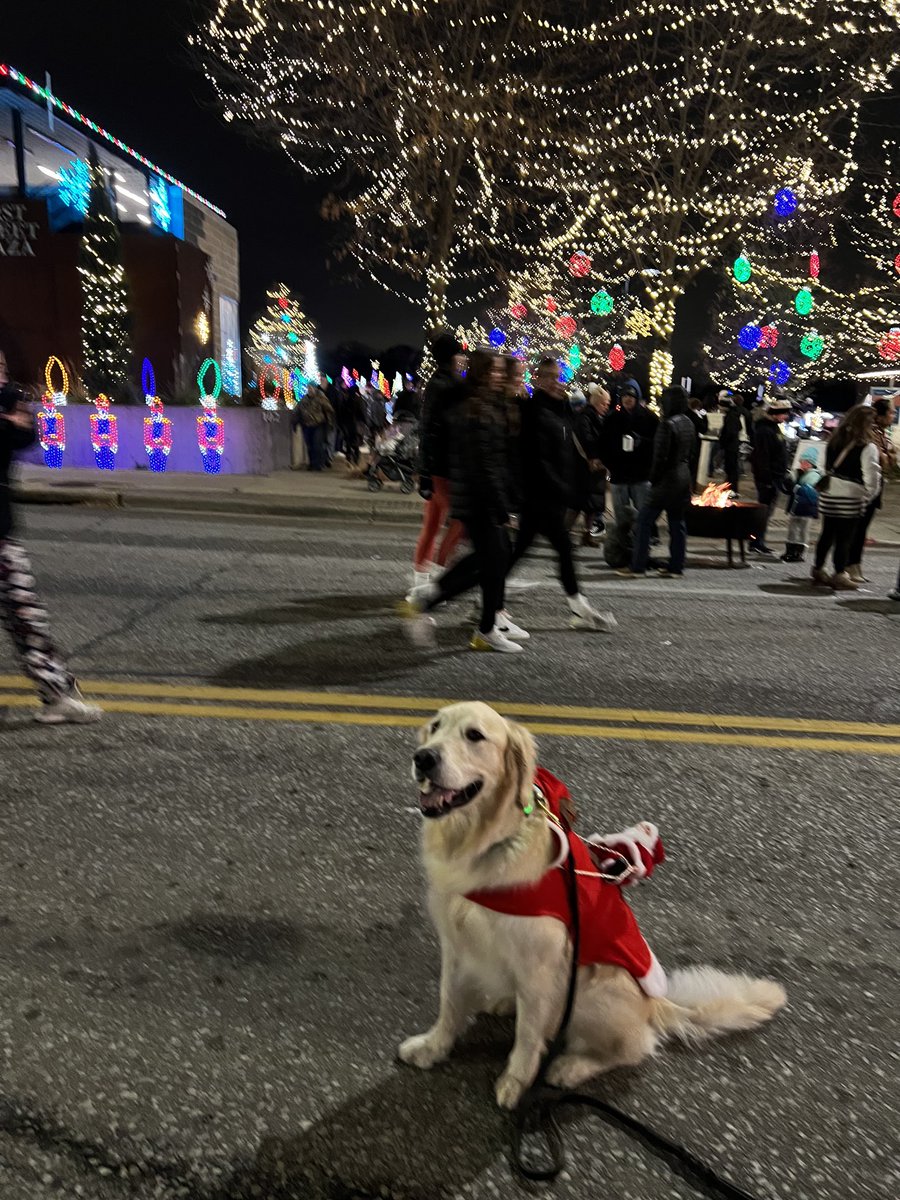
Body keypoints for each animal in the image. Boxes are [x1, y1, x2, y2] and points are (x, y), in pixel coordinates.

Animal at [400, 700, 787, 1104]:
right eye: (434, 727)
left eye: (474, 735)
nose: (423, 758)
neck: (483, 843)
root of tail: (654, 1004)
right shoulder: (455, 943)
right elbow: (449, 1002)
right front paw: (432, 1047)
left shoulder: (540, 965)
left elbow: (528, 1036)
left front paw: (516, 1083)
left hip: (589, 990)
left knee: (634, 1046)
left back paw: (572, 1066)